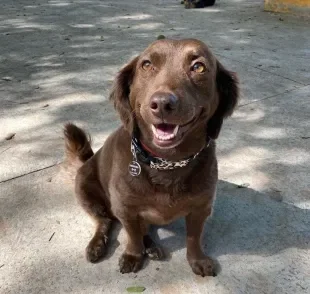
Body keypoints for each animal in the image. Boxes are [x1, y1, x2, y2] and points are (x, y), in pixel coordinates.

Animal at [62, 38, 237, 276]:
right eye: (146, 65)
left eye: (199, 67)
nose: (162, 103)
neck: (167, 162)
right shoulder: (125, 209)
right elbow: (132, 234)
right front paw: (134, 254)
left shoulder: (201, 208)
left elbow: (194, 237)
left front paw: (197, 259)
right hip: (85, 190)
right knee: (105, 221)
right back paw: (98, 244)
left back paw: (152, 246)